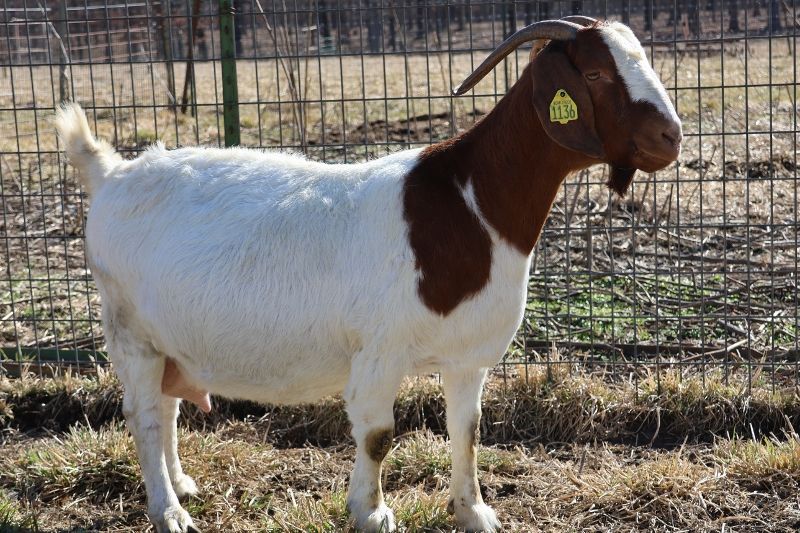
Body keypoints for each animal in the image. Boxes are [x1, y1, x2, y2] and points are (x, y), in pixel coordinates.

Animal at [56, 16, 680, 532]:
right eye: (595, 72)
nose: (671, 137)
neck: (470, 206)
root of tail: (111, 173)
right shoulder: (380, 350)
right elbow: (379, 435)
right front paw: (372, 512)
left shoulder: (468, 357)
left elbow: (468, 430)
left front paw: (474, 512)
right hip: (129, 329)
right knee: (143, 415)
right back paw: (170, 512)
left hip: (168, 339)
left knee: (165, 407)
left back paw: (182, 484)